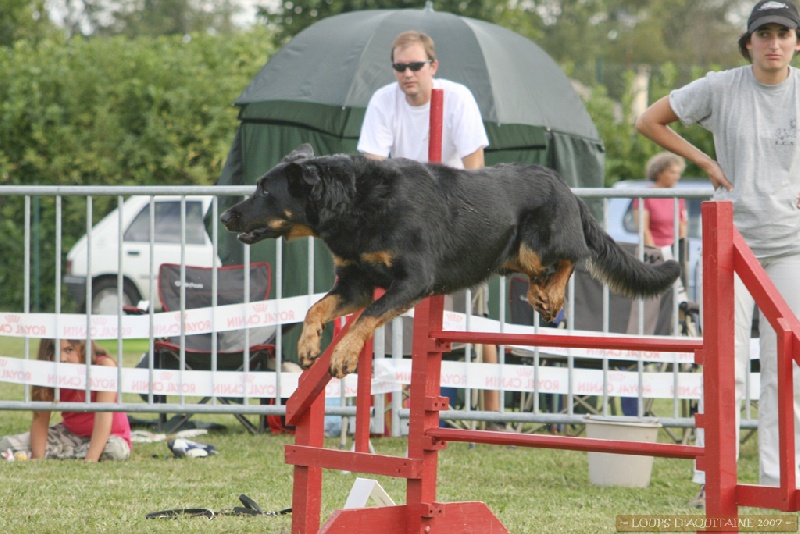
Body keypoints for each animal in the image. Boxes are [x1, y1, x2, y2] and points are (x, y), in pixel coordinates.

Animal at [222, 144, 680, 378]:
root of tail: (567, 188)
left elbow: (367, 317)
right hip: (504, 256)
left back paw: (551, 295)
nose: (226, 216)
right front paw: (308, 346)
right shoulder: (356, 283)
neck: (356, 203)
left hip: (537, 242)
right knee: (539, 270)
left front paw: (344, 356)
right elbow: (316, 308)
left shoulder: (411, 281)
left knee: (574, 256)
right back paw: (540, 294)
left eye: (265, 191)